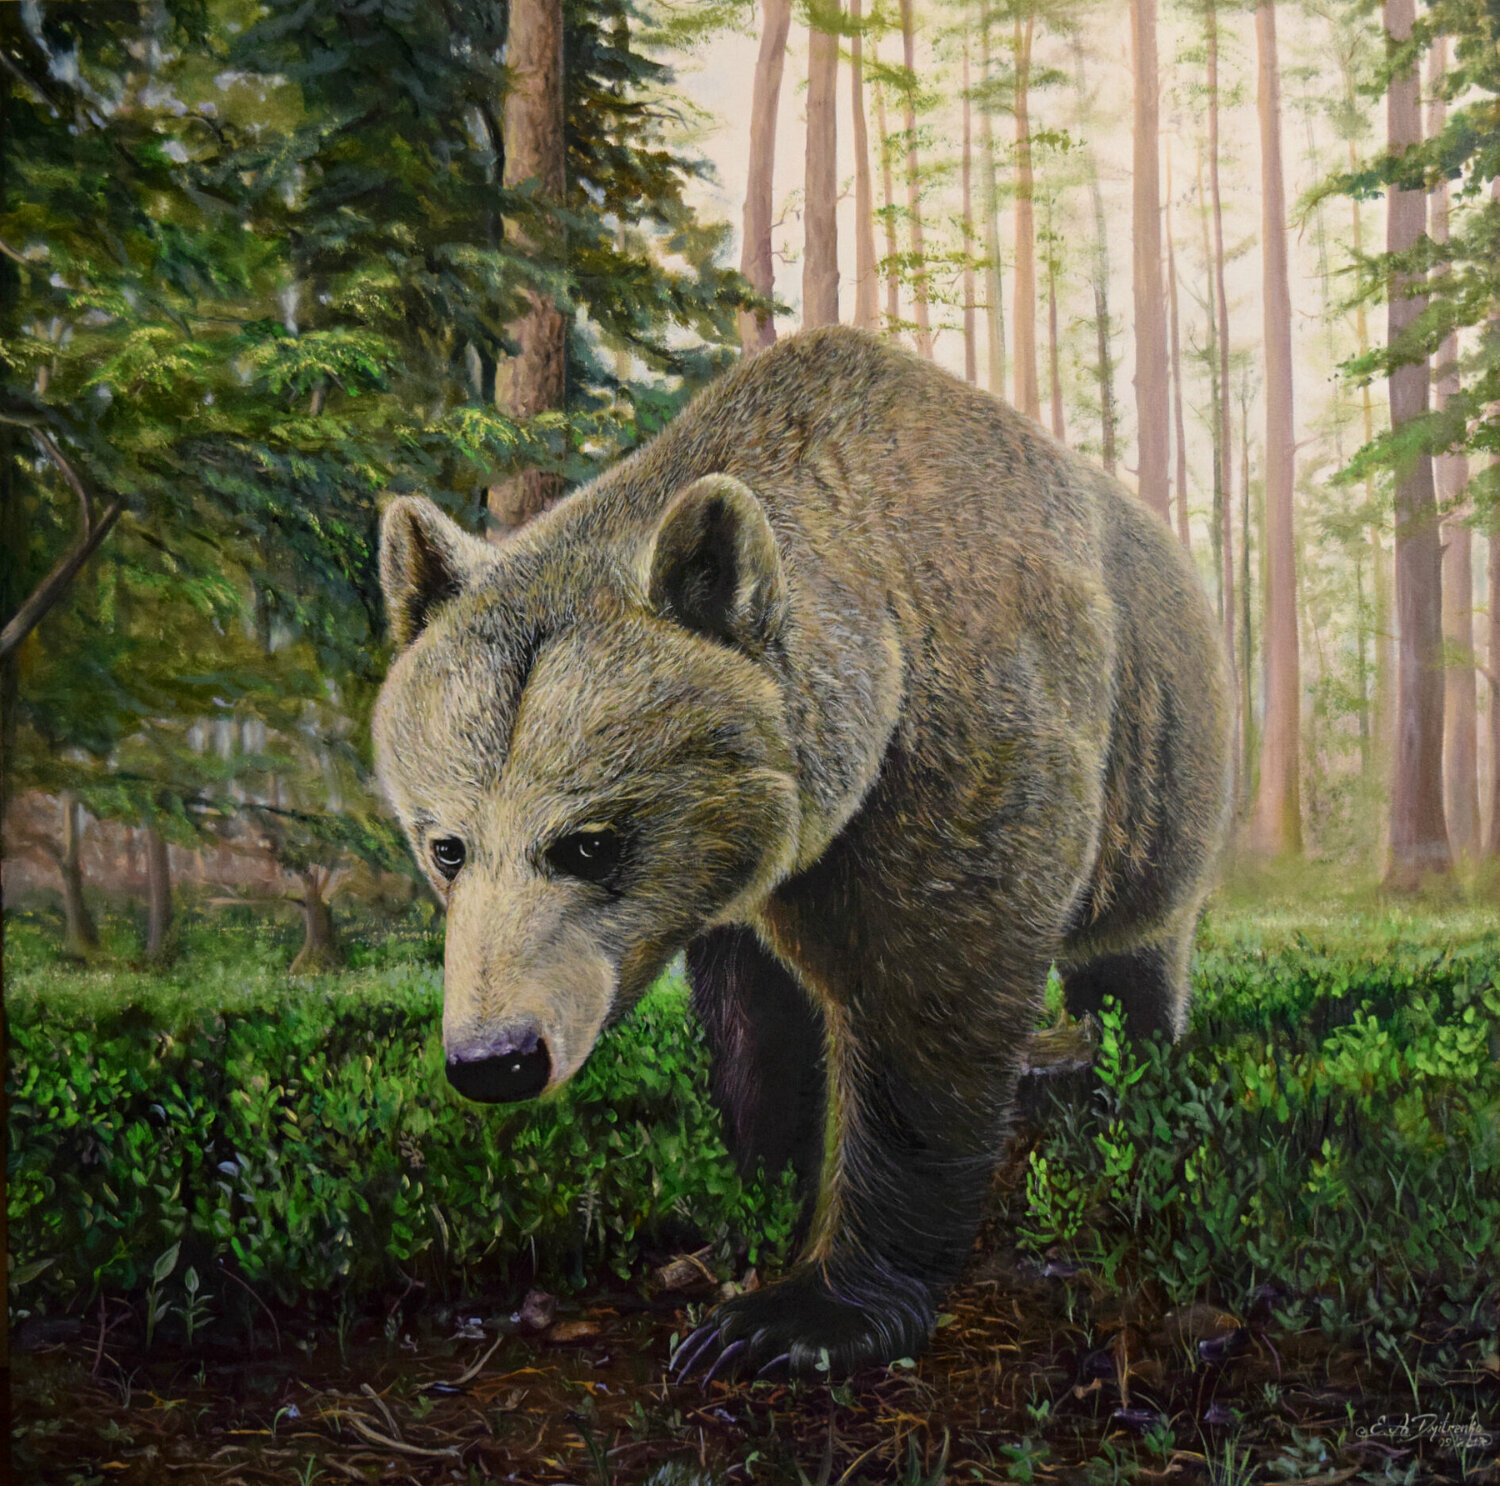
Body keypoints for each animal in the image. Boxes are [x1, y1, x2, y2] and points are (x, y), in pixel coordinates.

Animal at [371, 326, 1232, 1381]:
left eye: (587, 843)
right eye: (447, 845)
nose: (494, 1057)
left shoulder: (956, 756)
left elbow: (929, 1002)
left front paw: (795, 1315)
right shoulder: (742, 885)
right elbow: (757, 1027)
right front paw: (748, 1201)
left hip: (1162, 765)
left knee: (1135, 949)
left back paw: (1109, 1068)